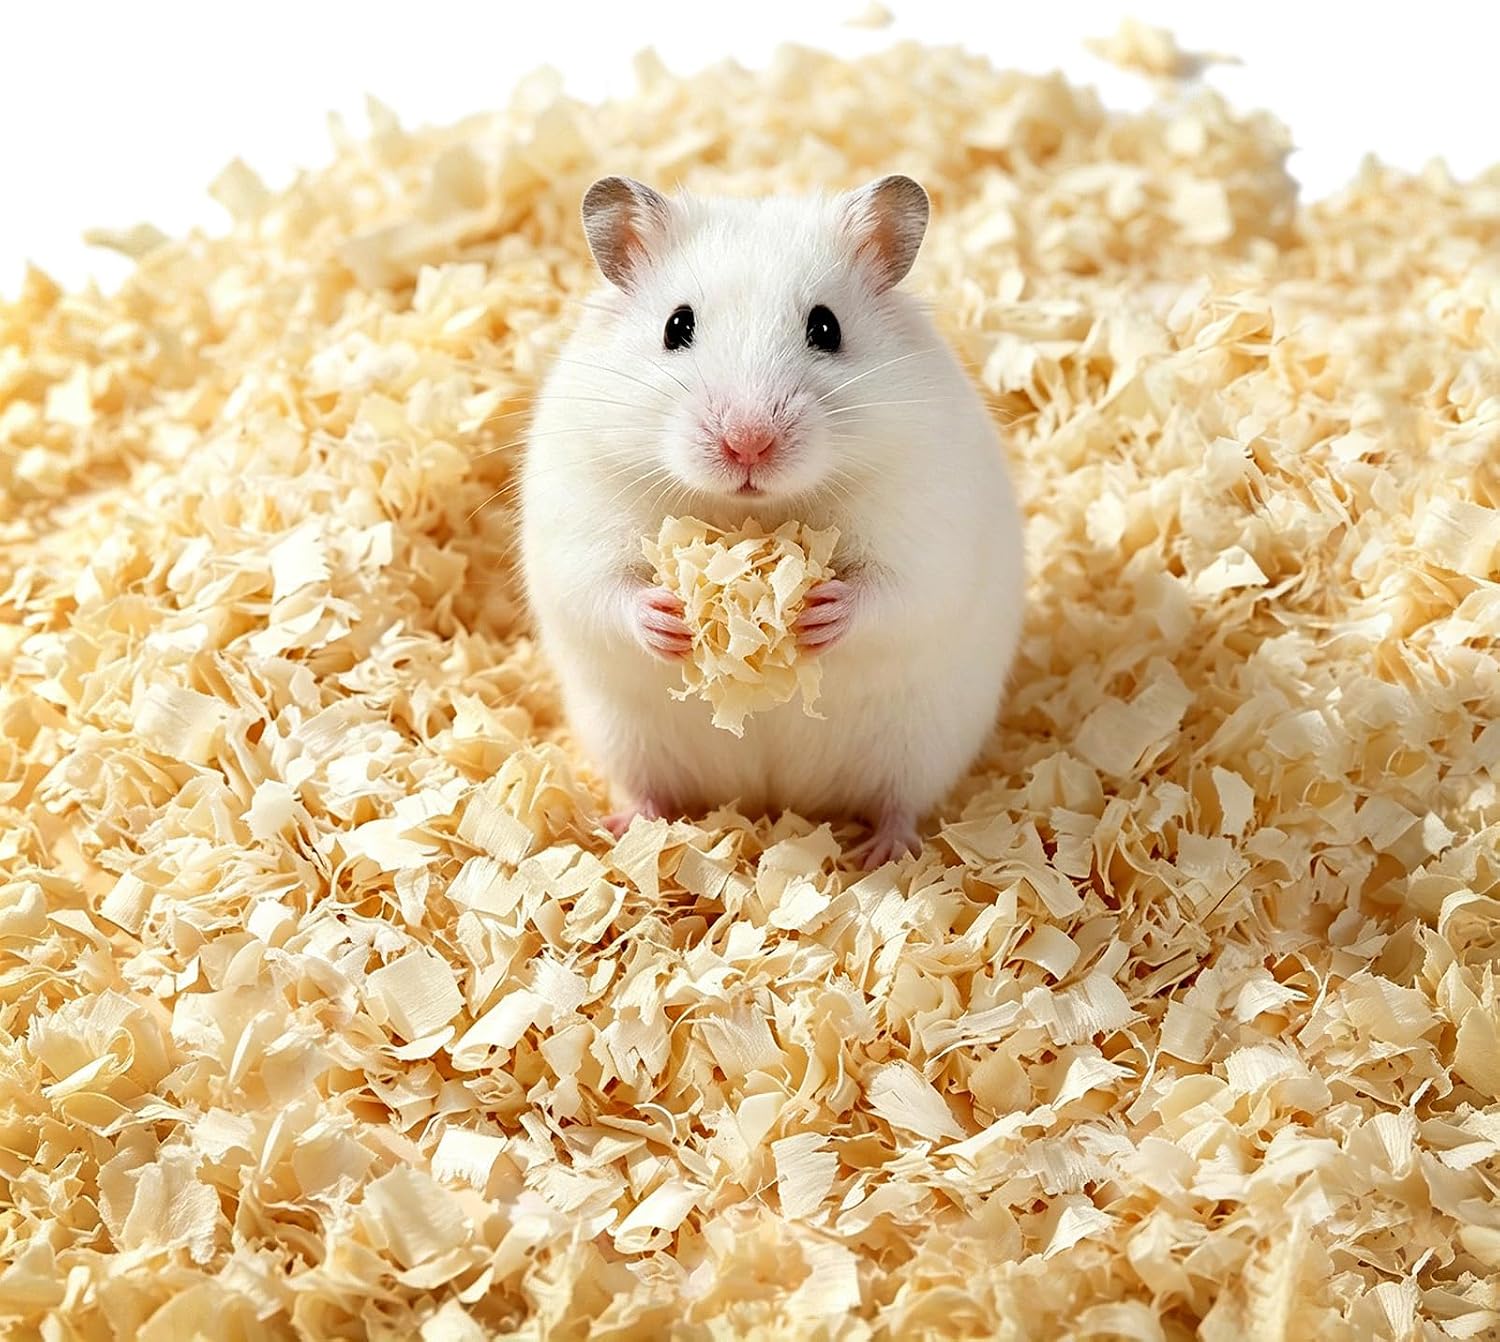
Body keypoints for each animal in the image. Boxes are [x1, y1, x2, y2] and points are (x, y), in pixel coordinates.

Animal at [520, 174, 1024, 868]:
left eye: (826, 326)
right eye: (677, 325)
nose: (748, 442)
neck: (751, 513)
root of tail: (773, 799)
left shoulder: (928, 532)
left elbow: (895, 595)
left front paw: (817, 612)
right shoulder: (578, 519)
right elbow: (604, 590)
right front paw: (671, 619)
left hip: (923, 743)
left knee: (899, 802)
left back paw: (884, 855)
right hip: (623, 738)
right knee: (646, 789)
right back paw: (622, 832)